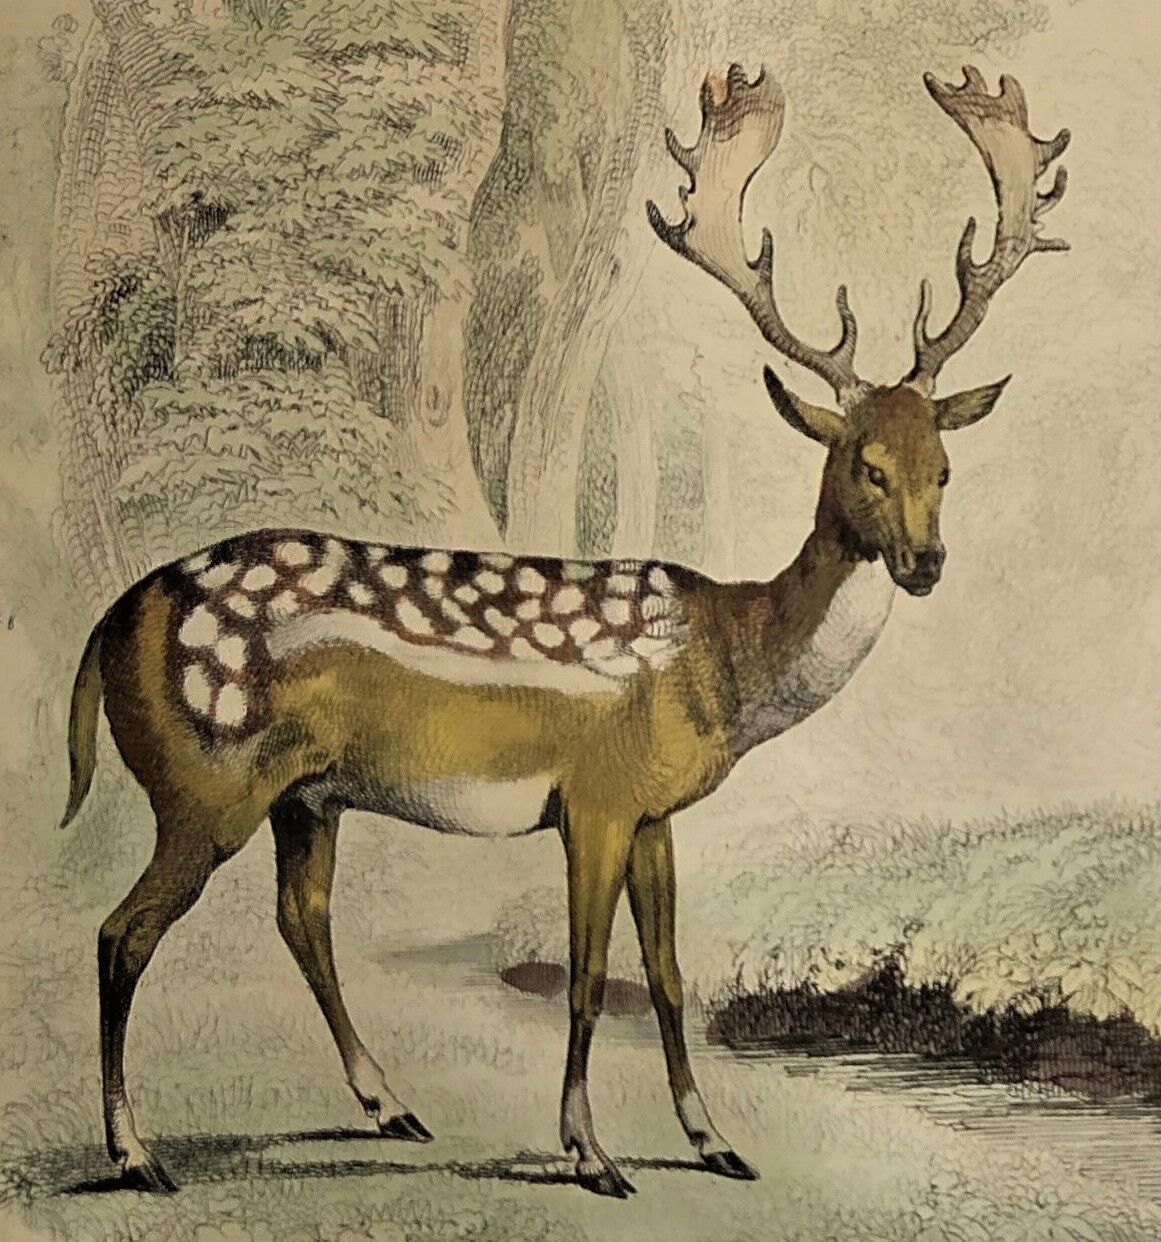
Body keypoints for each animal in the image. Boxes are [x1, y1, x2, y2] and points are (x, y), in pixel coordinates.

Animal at [60, 64, 1068, 1198]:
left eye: (945, 466)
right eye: (863, 462)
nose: (925, 564)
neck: (724, 663)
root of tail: (106, 626)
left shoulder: (657, 810)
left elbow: (667, 975)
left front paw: (715, 1142)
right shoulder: (593, 794)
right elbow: (588, 976)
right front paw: (591, 1154)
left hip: (306, 795)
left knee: (299, 919)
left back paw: (391, 1107)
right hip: (206, 779)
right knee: (121, 932)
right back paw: (136, 1152)